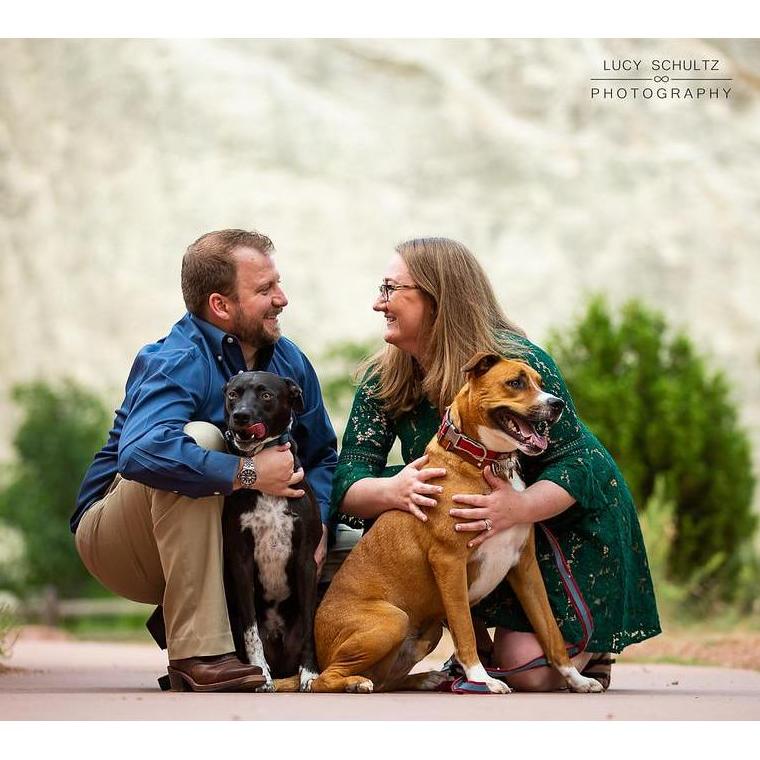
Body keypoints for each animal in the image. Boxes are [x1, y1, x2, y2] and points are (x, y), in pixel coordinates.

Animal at [221, 371, 322, 692]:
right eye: (233, 394)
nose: (240, 416)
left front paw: (310, 673)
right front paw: (260, 674)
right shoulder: (240, 560)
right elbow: (250, 629)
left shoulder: (306, 560)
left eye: (266, 395)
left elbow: (310, 626)